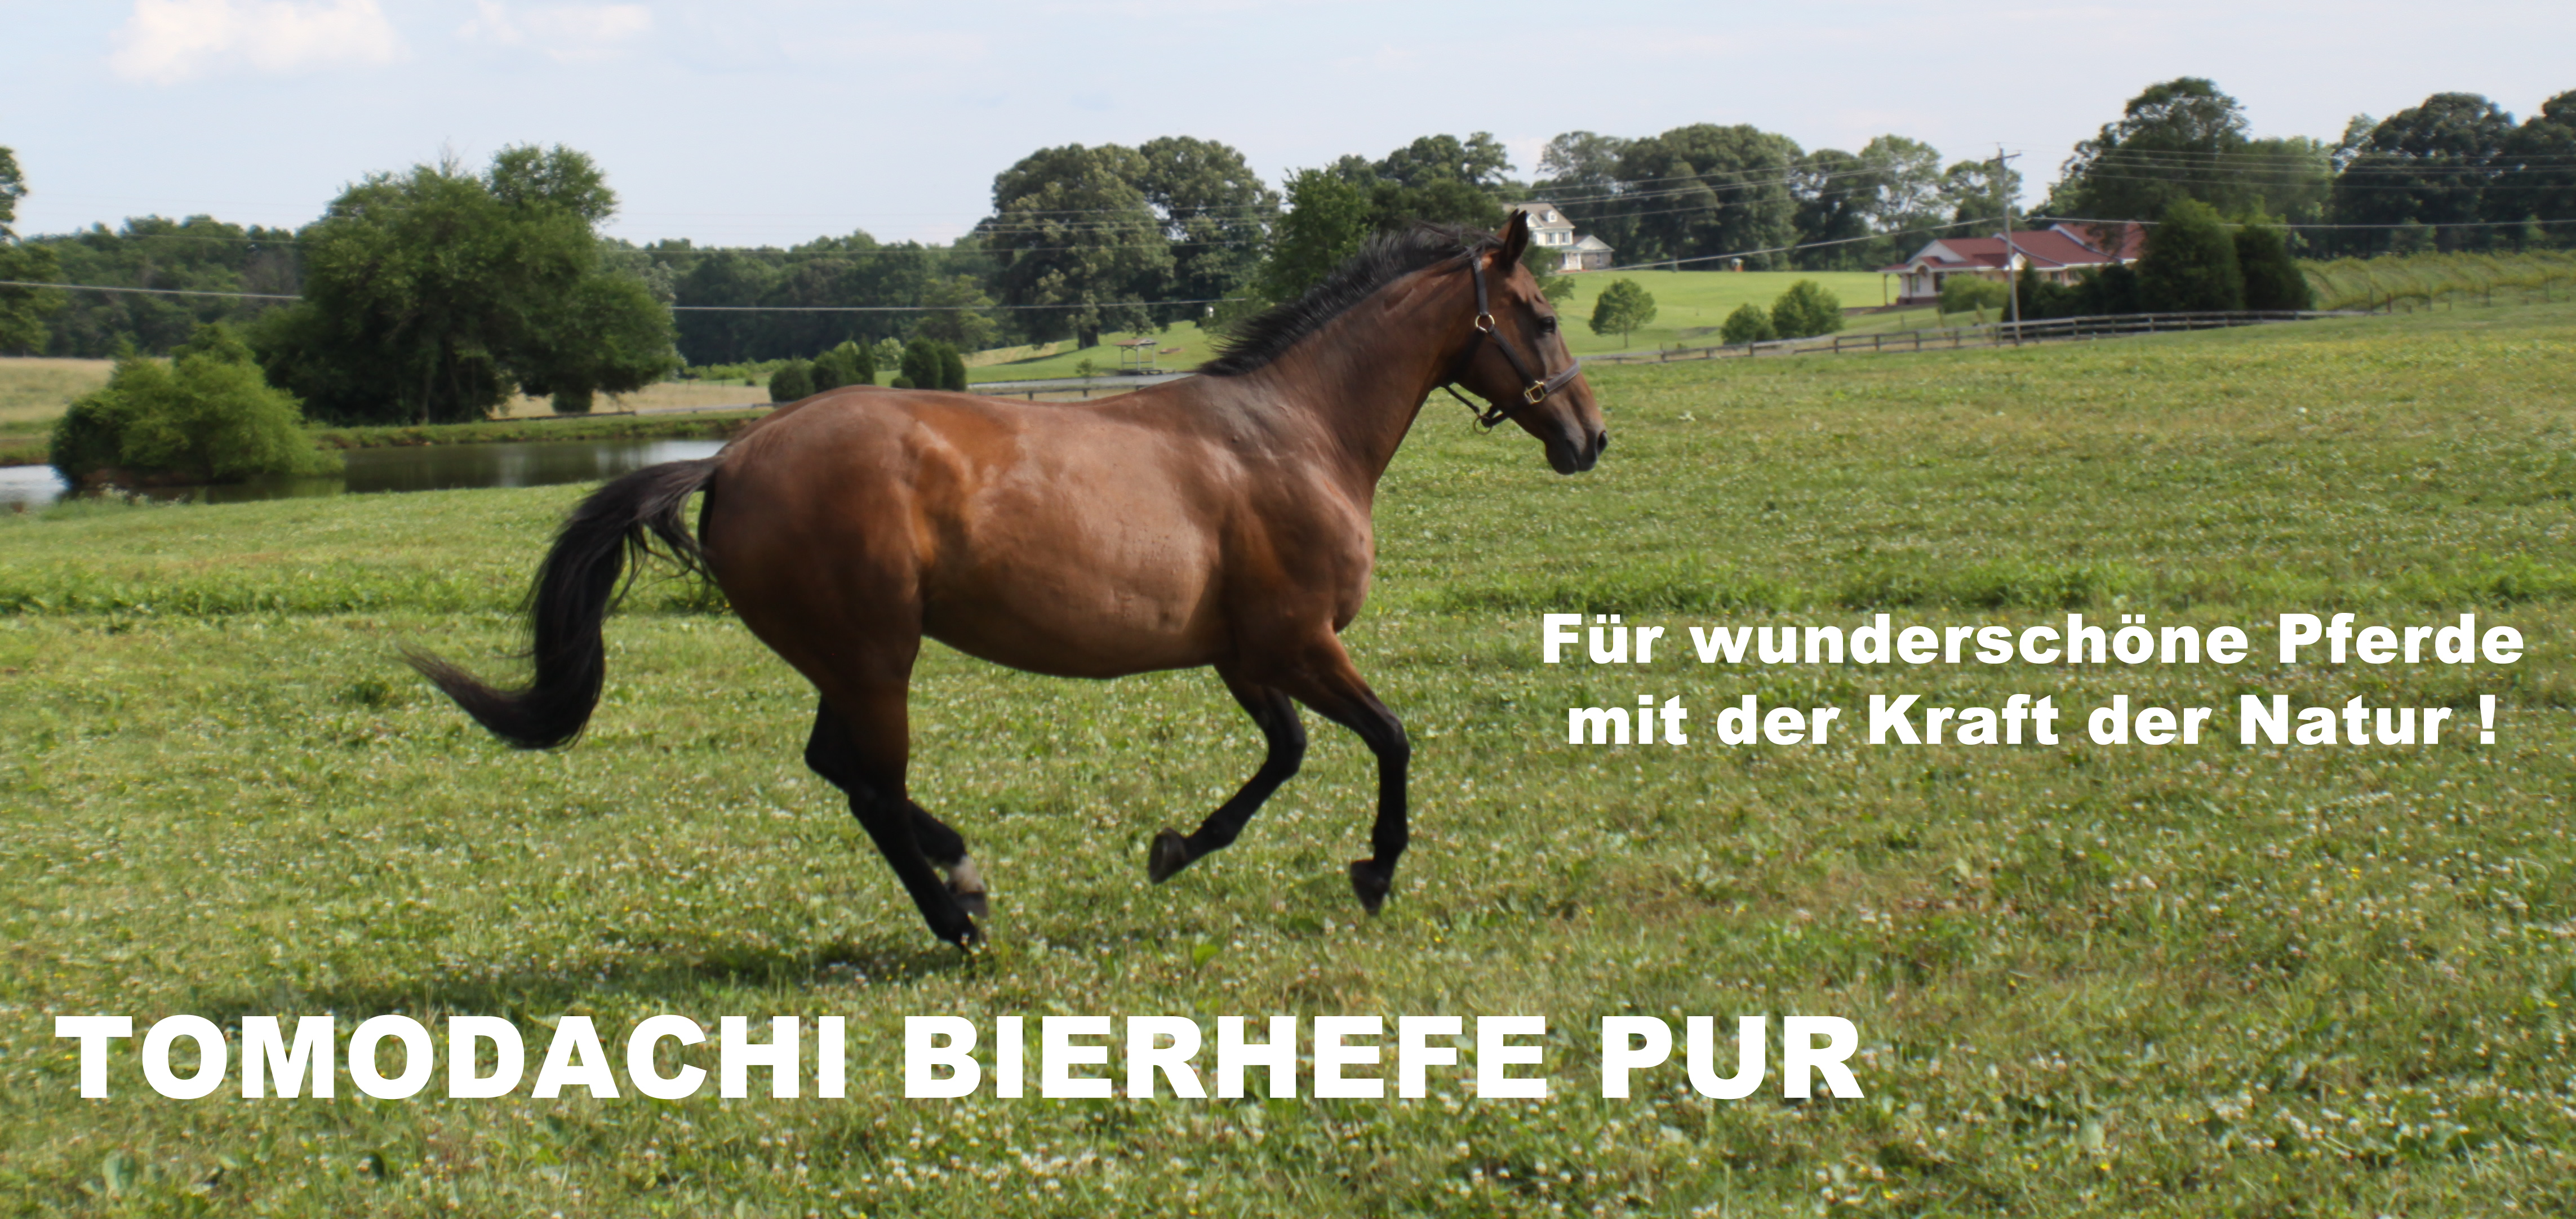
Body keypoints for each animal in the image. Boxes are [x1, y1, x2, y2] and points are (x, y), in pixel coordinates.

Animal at [409, 210, 1605, 947]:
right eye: (1544, 315)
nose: (1589, 437)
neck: (1293, 433)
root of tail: (732, 454)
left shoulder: (1244, 651)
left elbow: (1286, 754)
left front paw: (1176, 846)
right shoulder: (1301, 638)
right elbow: (1389, 737)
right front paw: (1376, 868)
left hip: (847, 660)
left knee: (838, 767)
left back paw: (959, 868)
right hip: (876, 657)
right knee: (871, 787)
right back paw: (958, 910)